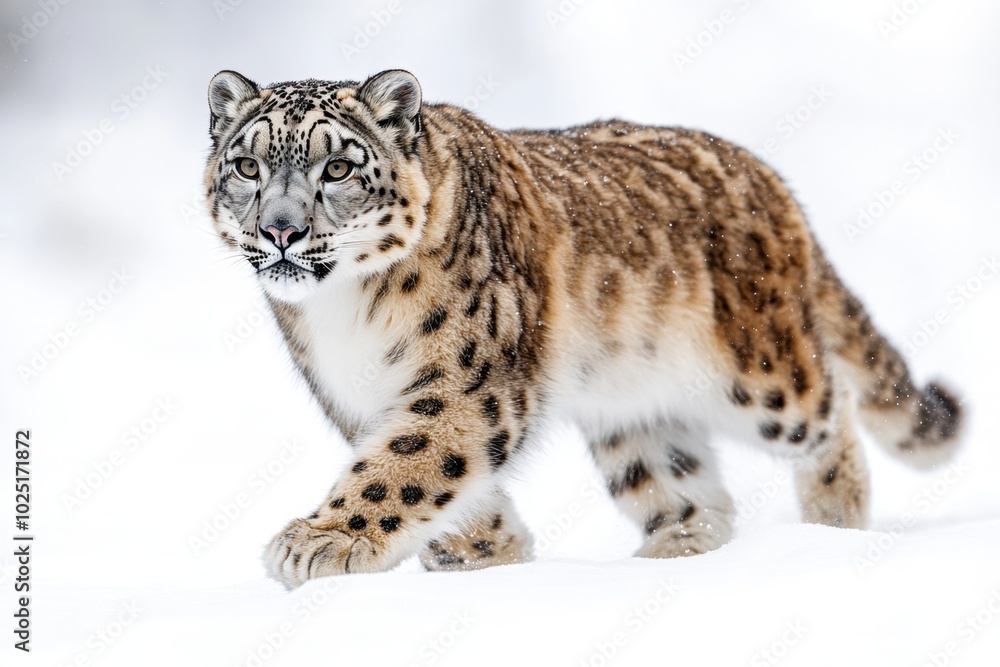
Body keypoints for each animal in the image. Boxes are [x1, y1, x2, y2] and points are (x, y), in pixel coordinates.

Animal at [204, 68, 963, 588]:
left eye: (337, 167)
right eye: (247, 165)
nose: (279, 229)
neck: (346, 313)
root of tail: (771, 180)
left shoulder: (468, 379)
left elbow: (411, 462)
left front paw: (322, 541)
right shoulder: (357, 395)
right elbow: (434, 471)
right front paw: (485, 557)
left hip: (762, 376)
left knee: (831, 414)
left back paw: (833, 525)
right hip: (630, 411)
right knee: (685, 488)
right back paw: (674, 556)